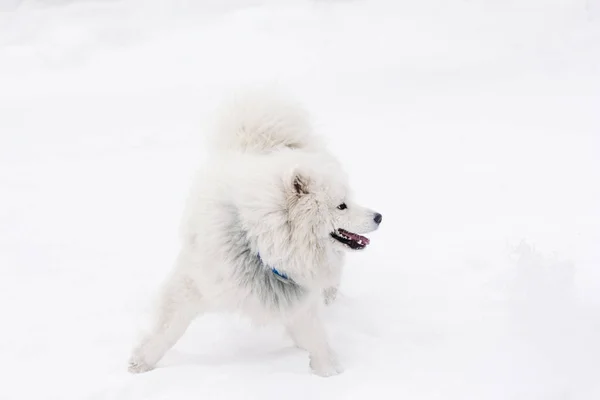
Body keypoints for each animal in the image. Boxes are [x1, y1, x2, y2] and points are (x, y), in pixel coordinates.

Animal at [128, 89, 382, 376]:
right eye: (341, 205)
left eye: (348, 200)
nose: (379, 217)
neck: (257, 244)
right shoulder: (195, 283)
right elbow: (167, 328)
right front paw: (141, 362)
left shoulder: (297, 299)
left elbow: (317, 337)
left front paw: (329, 371)